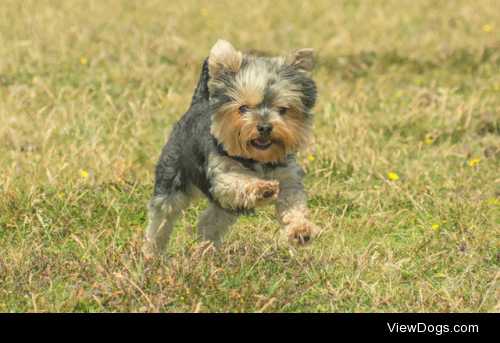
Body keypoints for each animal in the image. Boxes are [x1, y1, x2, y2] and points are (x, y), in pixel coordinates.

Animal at [147, 40, 320, 254]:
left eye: (282, 110)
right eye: (243, 108)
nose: (264, 126)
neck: (259, 159)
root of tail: (198, 102)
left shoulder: (288, 178)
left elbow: (294, 204)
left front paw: (301, 230)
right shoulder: (222, 174)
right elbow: (240, 180)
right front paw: (262, 188)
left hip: (225, 207)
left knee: (208, 222)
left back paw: (206, 252)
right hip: (172, 175)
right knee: (161, 219)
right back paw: (153, 253)